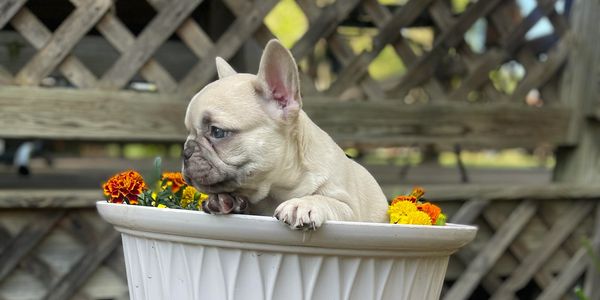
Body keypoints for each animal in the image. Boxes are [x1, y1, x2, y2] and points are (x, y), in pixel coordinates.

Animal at [183, 39, 390, 230]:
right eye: (189, 131)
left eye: (217, 132)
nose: (185, 152)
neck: (278, 188)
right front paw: (223, 200)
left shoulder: (350, 210)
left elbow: (326, 200)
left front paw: (302, 204)